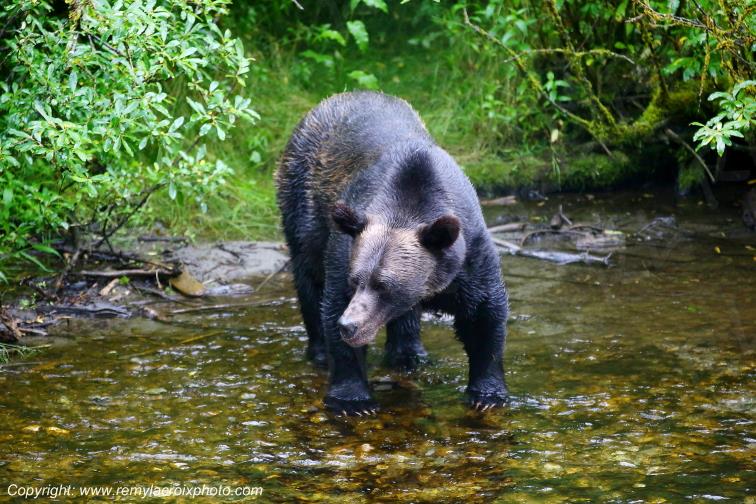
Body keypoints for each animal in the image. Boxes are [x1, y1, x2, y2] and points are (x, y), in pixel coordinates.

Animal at [276, 91, 509, 415]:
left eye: (384, 285)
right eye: (355, 280)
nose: (350, 325)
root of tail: (334, 98)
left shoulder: (470, 257)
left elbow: (483, 315)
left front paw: (488, 394)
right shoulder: (345, 249)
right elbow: (332, 303)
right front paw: (353, 400)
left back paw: (409, 355)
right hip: (304, 202)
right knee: (309, 277)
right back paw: (320, 351)